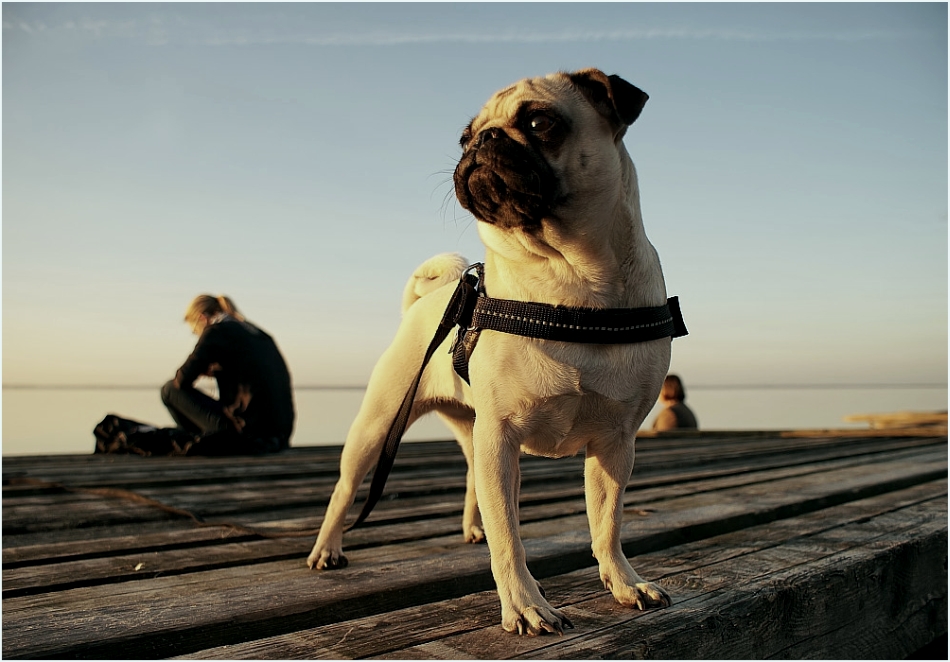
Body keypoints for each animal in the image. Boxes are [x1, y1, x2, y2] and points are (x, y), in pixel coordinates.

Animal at [308, 68, 672, 640]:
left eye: (540, 123)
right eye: (464, 137)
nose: (482, 141)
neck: (570, 282)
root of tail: (429, 300)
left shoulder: (616, 444)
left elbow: (606, 524)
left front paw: (624, 582)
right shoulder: (502, 436)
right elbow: (510, 538)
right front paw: (524, 605)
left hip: (471, 424)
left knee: (470, 478)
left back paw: (471, 527)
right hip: (378, 425)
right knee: (345, 489)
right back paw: (327, 548)